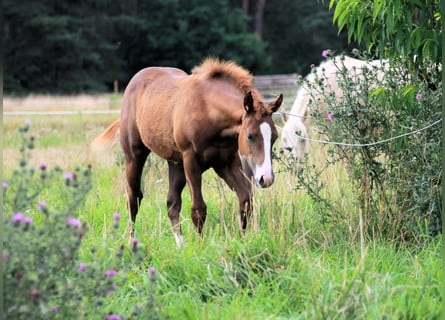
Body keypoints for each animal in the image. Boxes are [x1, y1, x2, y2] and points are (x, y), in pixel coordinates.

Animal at [92, 58, 282, 244]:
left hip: (176, 163)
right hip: (134, 155)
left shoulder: (225, 163)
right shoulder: (191, 160)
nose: (266, 178)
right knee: (134, 198)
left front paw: (242, 241)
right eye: (250, 136)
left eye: (274, 136)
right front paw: (200, 247)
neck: (208, 110)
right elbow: (198, 208)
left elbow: (245, 200)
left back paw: (180, 245)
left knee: (172, 203)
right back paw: (132, 240)